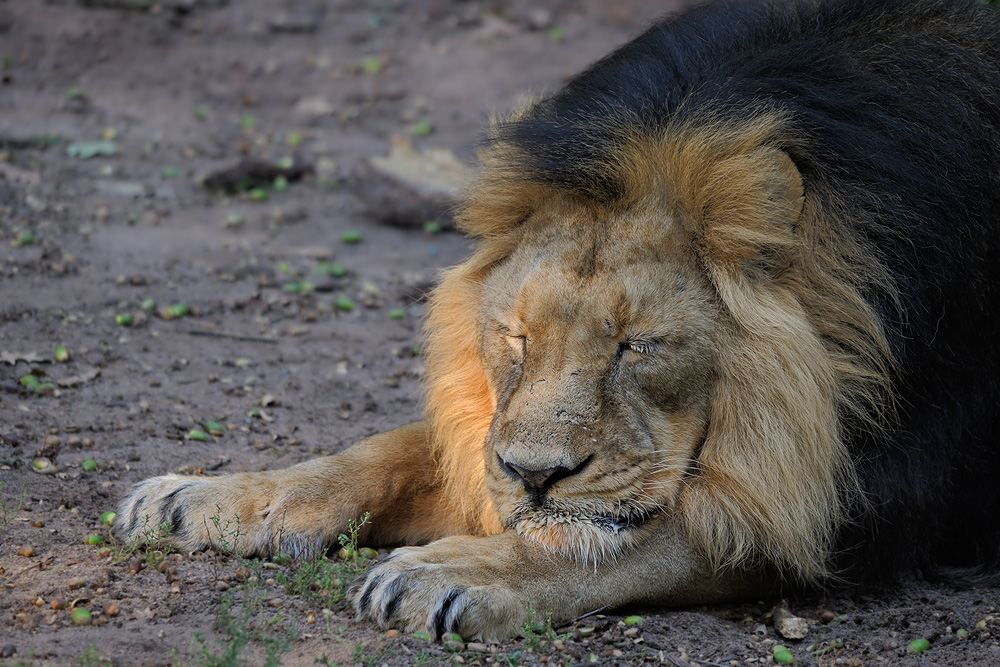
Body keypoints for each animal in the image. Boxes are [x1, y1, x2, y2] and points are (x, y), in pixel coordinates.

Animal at [119, 0, 1000, 641]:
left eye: (637, 346)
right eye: (517, 336)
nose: (536, 474)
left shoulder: (869, 492)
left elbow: (647, 534)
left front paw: (451, 572)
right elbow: (389, 450)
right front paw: (209, 496)